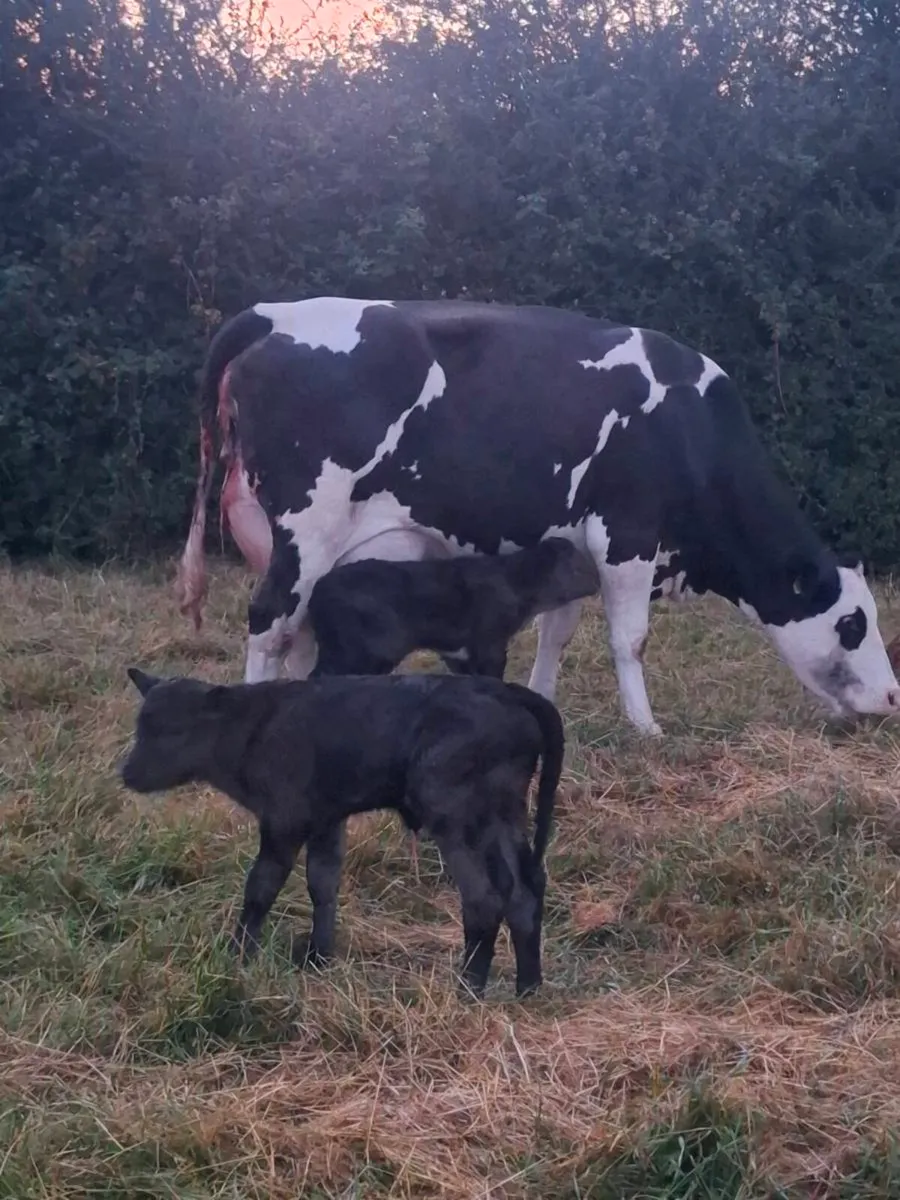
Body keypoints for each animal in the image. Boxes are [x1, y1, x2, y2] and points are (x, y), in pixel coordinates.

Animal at [120, 666, 564, 999]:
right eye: (140, 727)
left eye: (173, 730)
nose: (127, 773)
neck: (253, 727)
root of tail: (509, 692)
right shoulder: (327, 820)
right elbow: (323, 884)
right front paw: (318, 958)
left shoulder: (284, 820)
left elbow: (260, 888)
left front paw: (237, 956)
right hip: (502, 816)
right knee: (524, 890)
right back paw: (528, 987)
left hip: (454, 815)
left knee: (484, 897)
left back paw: (467, 991)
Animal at [306, 536, 600, 680]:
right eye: (577, 567)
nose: (598, 582)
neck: (514, 580)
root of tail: (317, 595)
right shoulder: (490, 645)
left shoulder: (460, 653)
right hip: (357, 651)